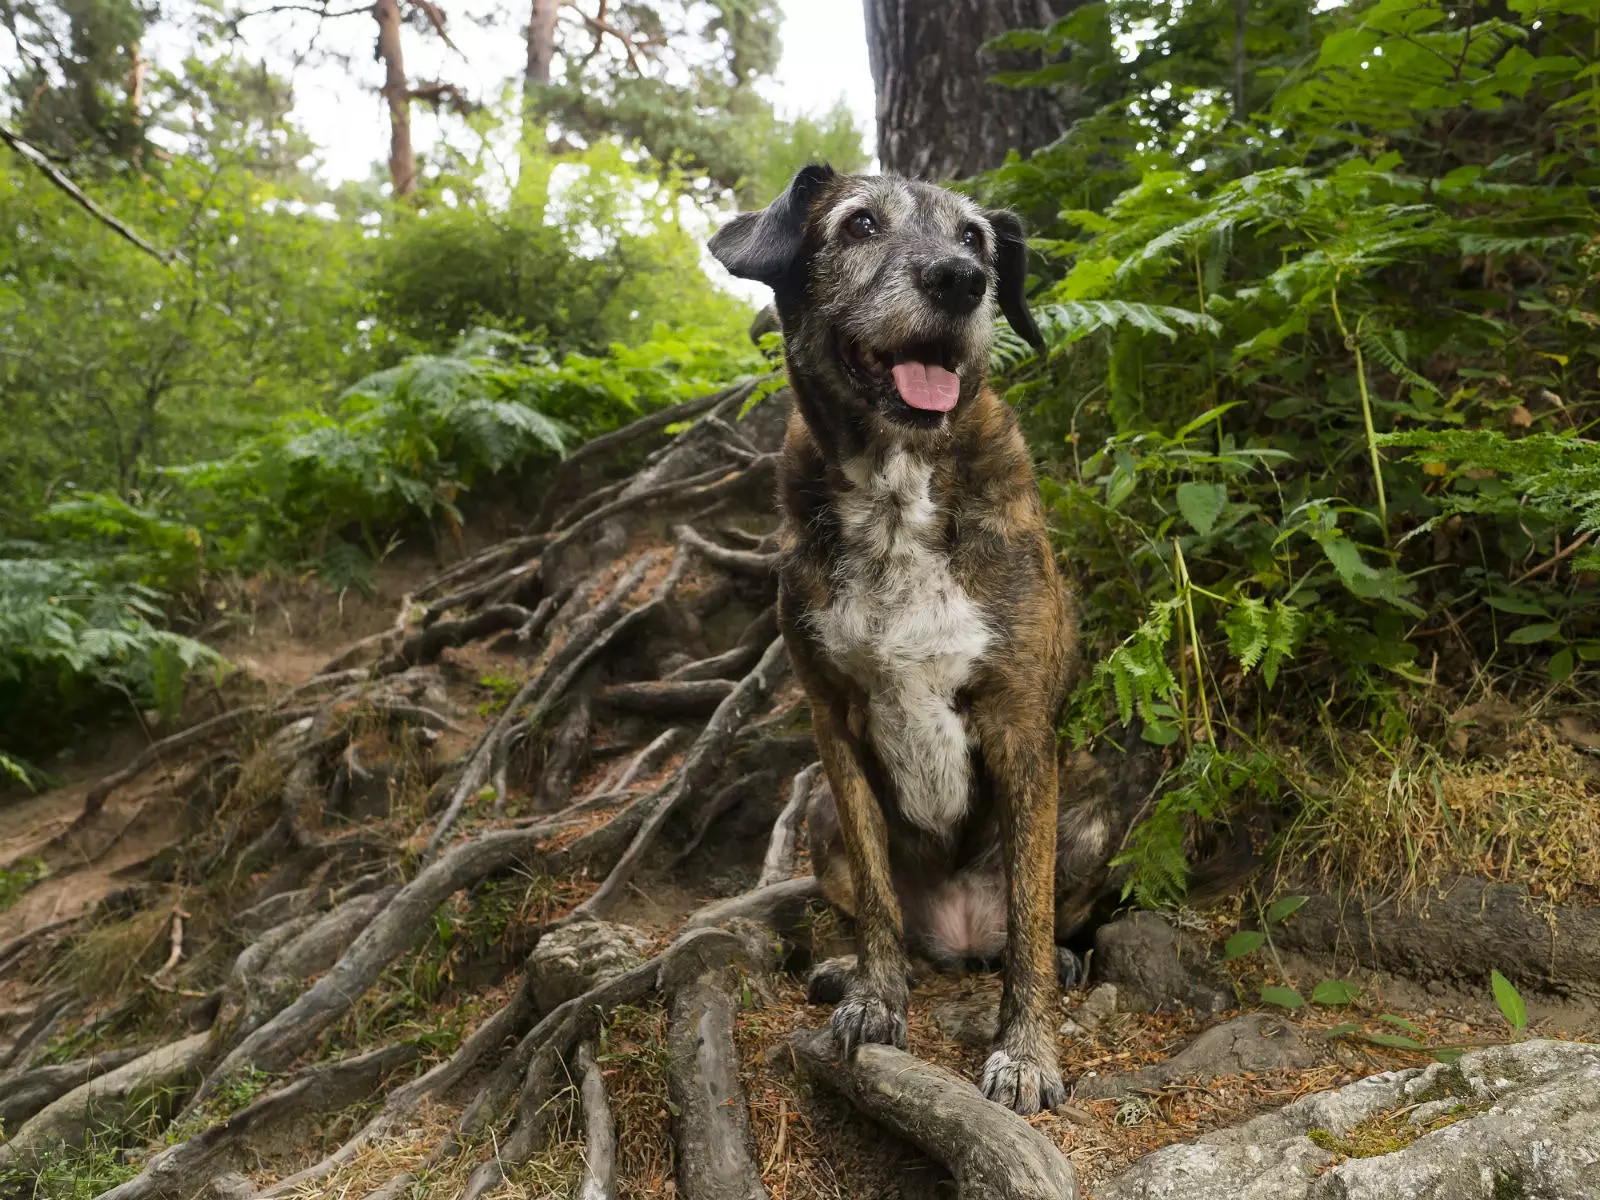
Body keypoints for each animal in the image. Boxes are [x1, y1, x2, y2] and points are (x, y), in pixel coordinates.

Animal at [707, 167, 1120, 1120]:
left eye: (976, 239)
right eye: (860, 225)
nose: (960, 282)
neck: (899, 491)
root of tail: (961, 938)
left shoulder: (1018, 726)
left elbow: (1032, 923)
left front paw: (1027, 1053)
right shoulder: (834, 723)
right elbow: (877, 905)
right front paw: (874, 998)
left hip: (1090, 808)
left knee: (1034, 923)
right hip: (820, 816)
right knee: (879, 912)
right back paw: (845, 964)